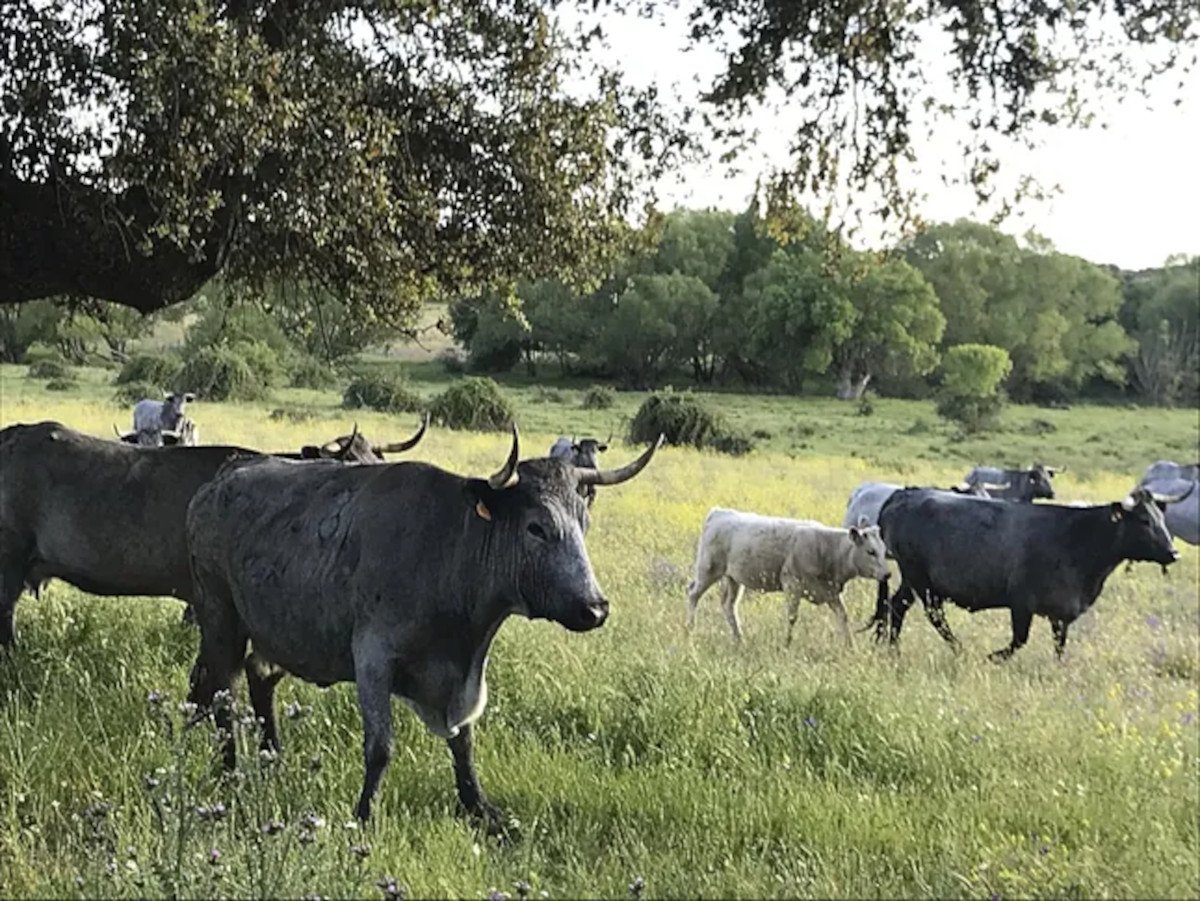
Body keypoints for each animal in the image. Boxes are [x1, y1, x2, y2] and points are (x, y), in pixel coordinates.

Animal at [184, 427, 667, 830]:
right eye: (536, 528)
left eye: (584, 522)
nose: (595, 608)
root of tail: (219, 480)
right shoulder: (373, 658)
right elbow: (380, 747)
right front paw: (365, 815)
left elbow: (464, 742)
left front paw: (479, 808)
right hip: (221, 615)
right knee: (224, 692)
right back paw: (232, 770)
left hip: (274, 629)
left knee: (257, 676)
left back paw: (271, 756)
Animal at [686, 508, 892, 647]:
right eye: (871, 551)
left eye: (884, 551)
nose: (888, 574)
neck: (827, 549)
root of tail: (719, 512)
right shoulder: (792, 584)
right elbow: (792, 617)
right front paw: (787, 643)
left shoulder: (831, 592)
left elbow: (843, 616)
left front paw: (850, 646)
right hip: (708, 569)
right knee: (693, 594)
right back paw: (690, 628)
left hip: (733, 578)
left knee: (729, 605)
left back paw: (739, 639)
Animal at [873, 487, 1180, 662]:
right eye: (1144, 521)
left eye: (1161, 519)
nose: (1174, 552)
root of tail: (904, 495)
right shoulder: (1021, 603)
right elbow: (1019, 640)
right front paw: (992, 657)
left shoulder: (1062, 613)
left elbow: (1059, 647)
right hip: (920, 578)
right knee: (934, 616)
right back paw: (959, 649)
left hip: (911, 580)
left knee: (896, 606)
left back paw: (891, 649)